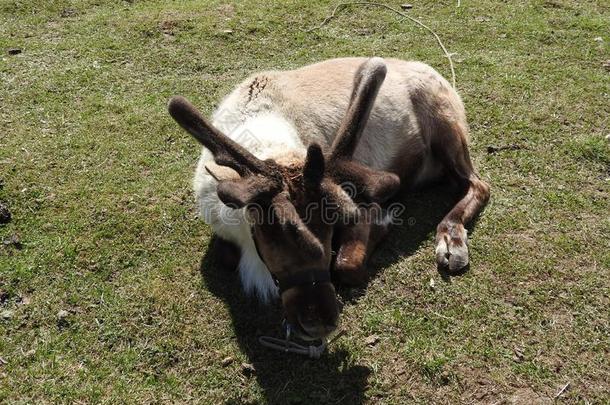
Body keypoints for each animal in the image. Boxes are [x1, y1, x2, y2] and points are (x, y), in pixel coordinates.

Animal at [167, 56, 490, 340]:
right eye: (269, 230)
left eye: (330, 224)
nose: (318, 323)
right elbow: (224, 256)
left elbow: (346, 265)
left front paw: (382, 221)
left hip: (445, 123)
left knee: (479, 184)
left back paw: (451, 241)